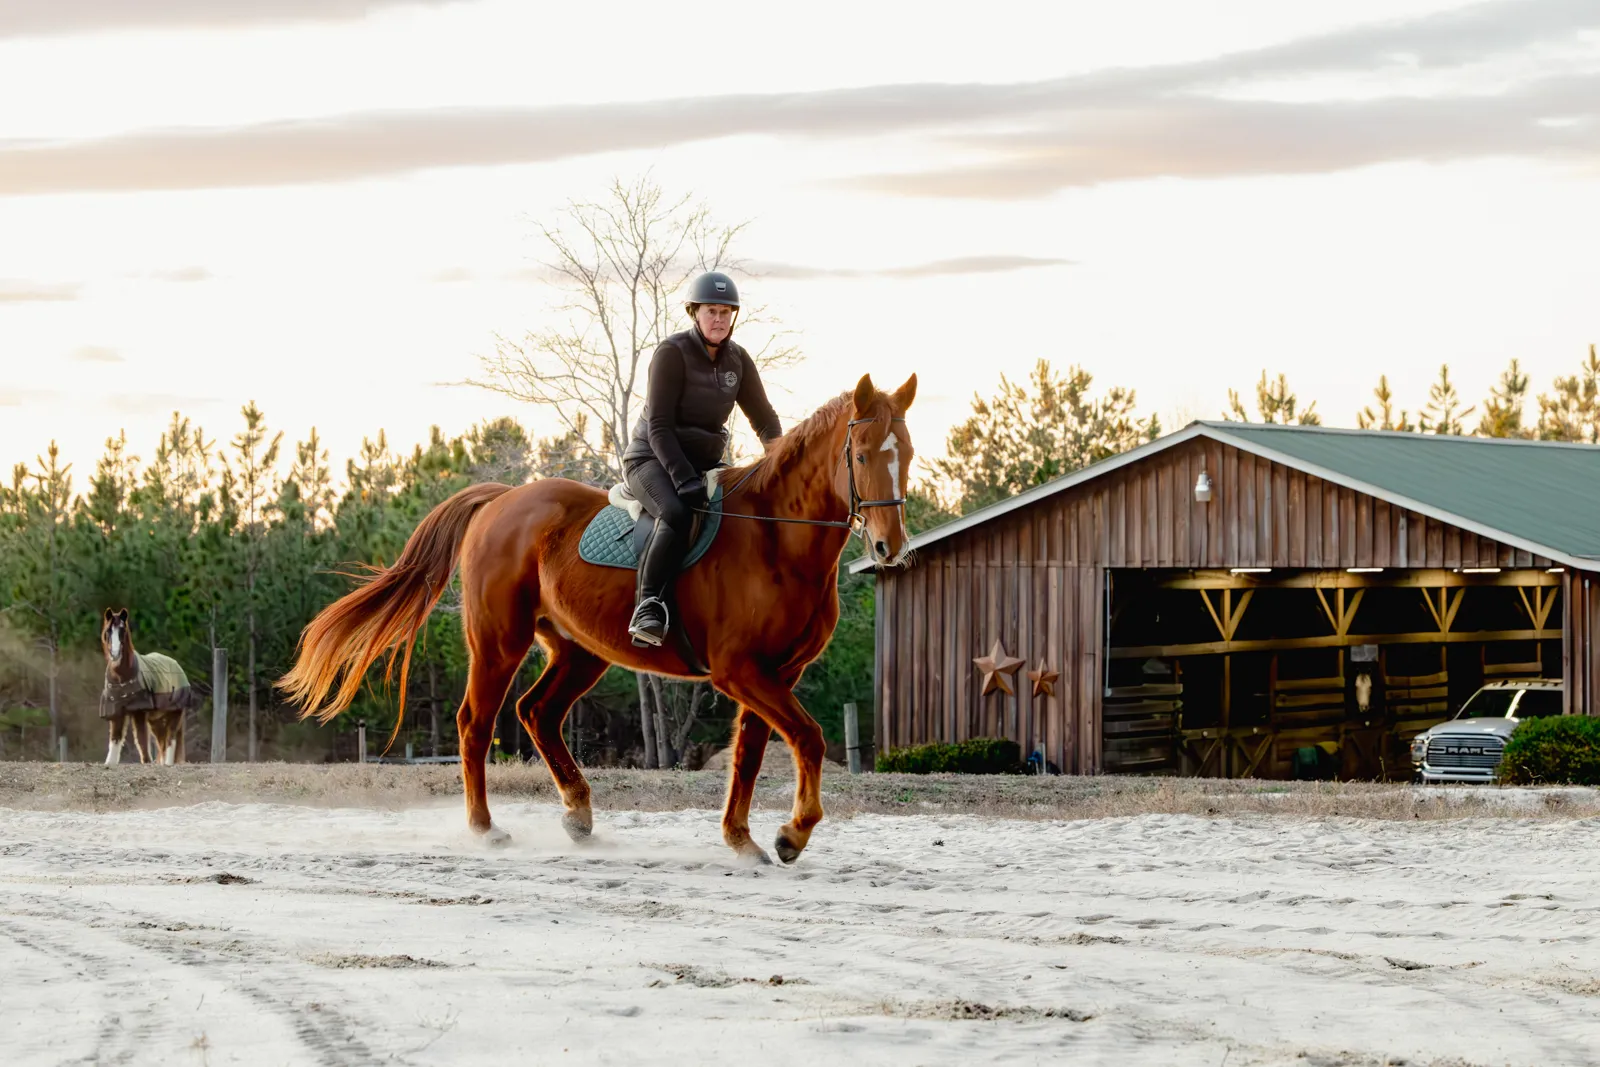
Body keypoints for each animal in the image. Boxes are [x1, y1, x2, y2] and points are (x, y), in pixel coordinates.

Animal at [100, 608, 193, 765]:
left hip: (175, 714)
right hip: (156, 720)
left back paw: (168, 764)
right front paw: (109, 764)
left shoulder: (139, 712)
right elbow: (115, 740)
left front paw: (147, 762)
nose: (115, 655)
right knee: (162, 743)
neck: (122, 678)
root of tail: (177, 665)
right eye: (108, 631)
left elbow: (141, 740)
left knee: (170, 740)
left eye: (123, 630)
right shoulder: (117, 712)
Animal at [279, 372, 916, 863]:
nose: (889, 548)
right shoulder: (741, 671)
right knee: (476, 724)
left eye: (906, 456)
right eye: (862, 456)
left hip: (579, 650)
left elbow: (750, 755)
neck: (774, 538)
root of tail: (500, 499)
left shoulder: (775, 674)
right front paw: (791, 835)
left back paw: (579, 815)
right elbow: (808, 737)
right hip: (499, 641)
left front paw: (744, 839)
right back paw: (486, 829)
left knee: (536, 713)